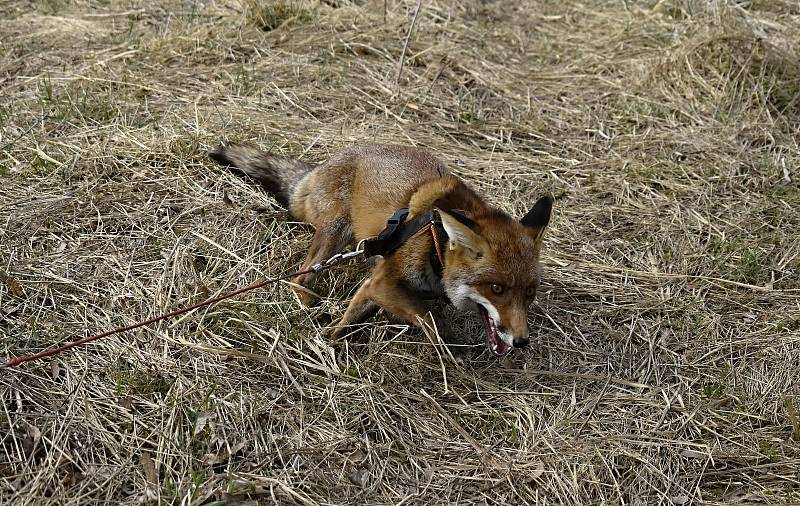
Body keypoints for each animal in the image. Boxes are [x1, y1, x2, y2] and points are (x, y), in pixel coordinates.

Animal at [209, 142, 552, 356]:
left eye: (529, 293)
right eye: (497, 289)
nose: (522, 341)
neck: (437, 243)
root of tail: (320, 167)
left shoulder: (376, 284)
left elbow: (362, 314)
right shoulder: (384, 281)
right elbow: (425, 314)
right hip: (336, 232)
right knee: (300, 278)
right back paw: (307, 303)